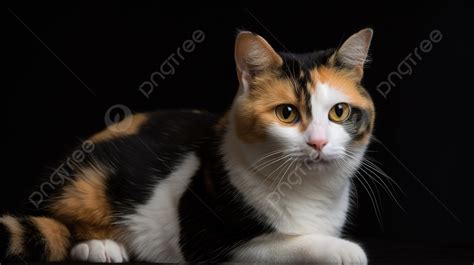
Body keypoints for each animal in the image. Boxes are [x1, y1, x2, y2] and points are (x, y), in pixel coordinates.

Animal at [1, 27, 376, 262]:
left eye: (339, 111)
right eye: (286, 113)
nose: (318, 142)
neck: (309, 191)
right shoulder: (207, 242)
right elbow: (282, 244)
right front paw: (344, 249)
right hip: (89, 183)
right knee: (60, 225)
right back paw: (101, 247)